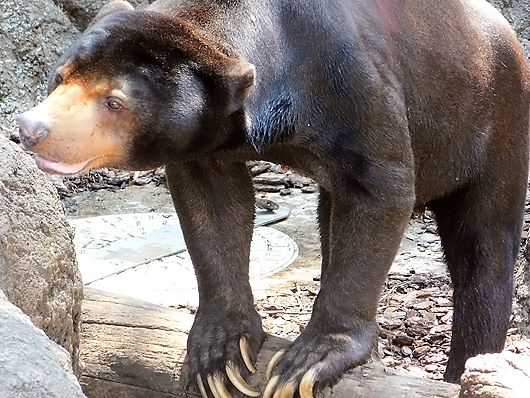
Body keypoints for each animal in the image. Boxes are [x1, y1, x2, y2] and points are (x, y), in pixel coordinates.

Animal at [16, 0, 528, 398]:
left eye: (115, 102)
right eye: (59, 77)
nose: (30, 128)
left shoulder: (351, 85)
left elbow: (380, 188)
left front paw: (310, 361)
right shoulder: (208, 146)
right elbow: (213, 209)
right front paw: (219, 355)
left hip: (492, 123)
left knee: (484, 251)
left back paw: (465, 366)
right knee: (331, 218)